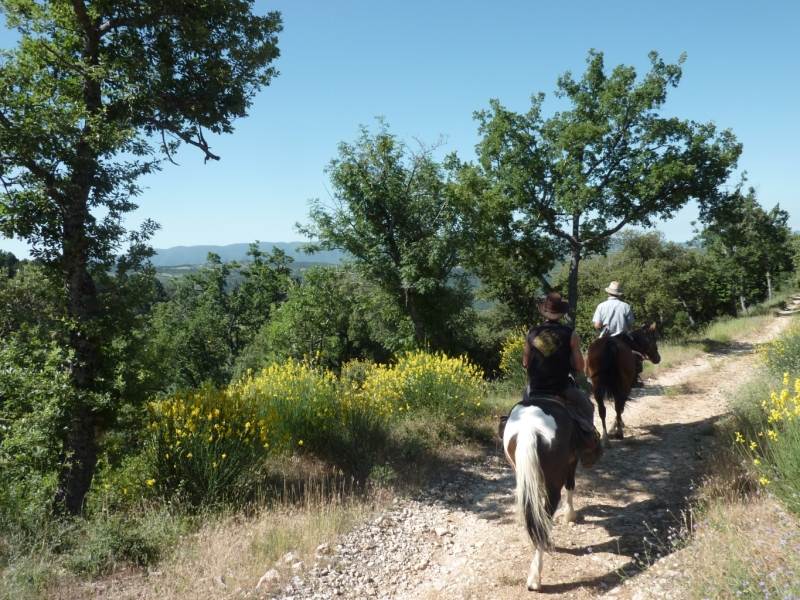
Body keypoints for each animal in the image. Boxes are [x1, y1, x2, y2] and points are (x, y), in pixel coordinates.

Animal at [504, 394, 580, 592]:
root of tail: (530, 426)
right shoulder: (573, 462)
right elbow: (570, 485)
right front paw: (570, 515)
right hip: (553, 487)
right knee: (543, 524)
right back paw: (535, 578)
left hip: (521, 474)